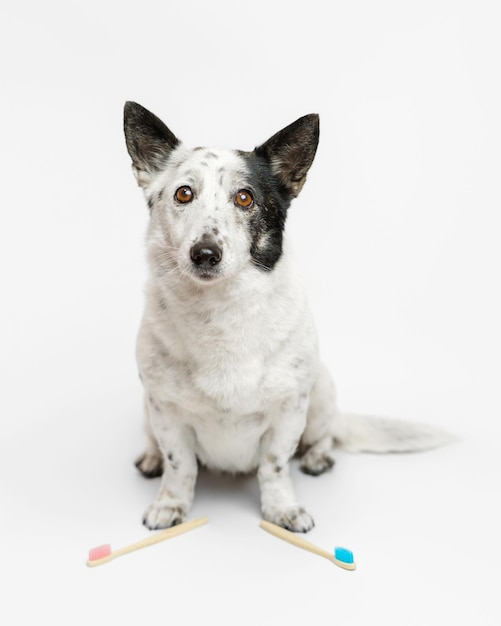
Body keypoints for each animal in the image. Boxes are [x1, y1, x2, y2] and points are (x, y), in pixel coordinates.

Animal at [122, 102, 450, 532]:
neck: (219, 310)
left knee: (324, 435)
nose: (205, 254)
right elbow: (181, 467)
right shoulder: (165, 411)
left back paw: (318, 456)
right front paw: (170, 504)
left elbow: (274, 467)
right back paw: (151, 458)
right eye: (183, 193)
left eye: (245, 198)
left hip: (321, 389)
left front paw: (282, 510)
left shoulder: (289, 411)